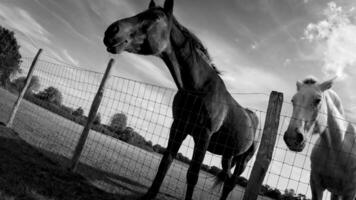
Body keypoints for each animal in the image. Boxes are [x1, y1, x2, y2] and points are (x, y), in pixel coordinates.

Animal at [104, 0, 260, 199]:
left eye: (156, 17)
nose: (112, 31)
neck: (199, 88)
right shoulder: (178, 126)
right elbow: (166, 161)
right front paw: (150, 194)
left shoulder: (204, 135)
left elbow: (192, 174)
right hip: (228, 156)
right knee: (226, 180)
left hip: (243, 160)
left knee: (231, 183)